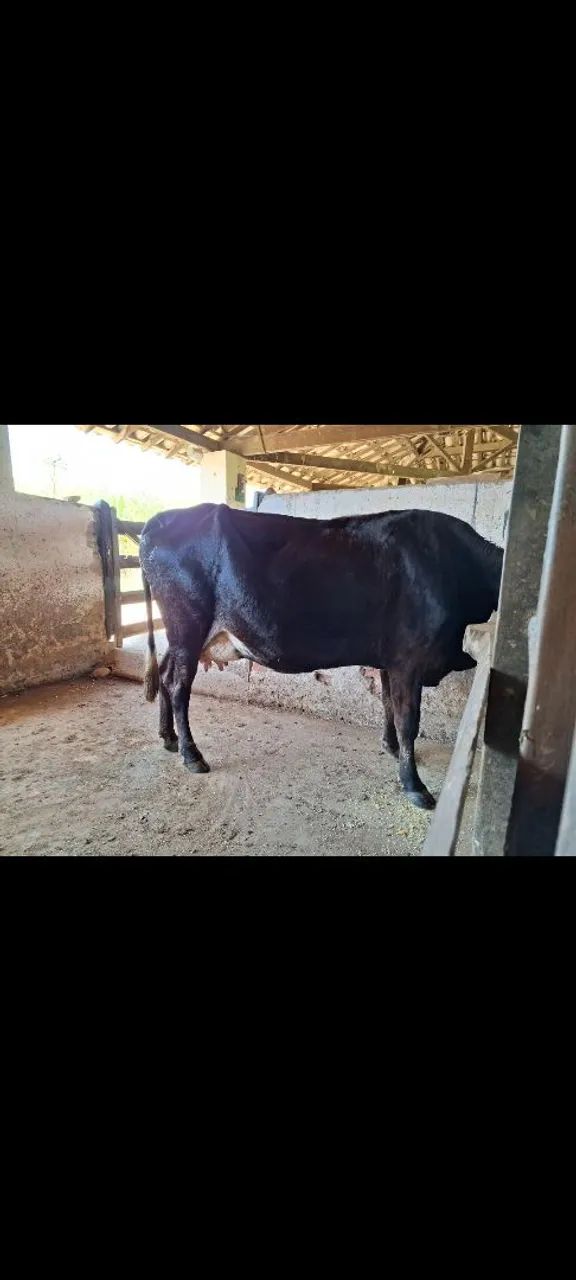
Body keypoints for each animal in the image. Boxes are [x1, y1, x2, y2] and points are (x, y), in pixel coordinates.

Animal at [140, 503, 503, 809]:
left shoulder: (390, 660)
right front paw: (415, 785)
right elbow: (408, 722)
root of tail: (160, 520)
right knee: (178, 686)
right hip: (187, 627)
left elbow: (387, 704)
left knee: (165, 673)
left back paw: (168, 738)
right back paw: (191, 754)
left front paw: (390, 748)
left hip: (180, 636)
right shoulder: (409, 661)